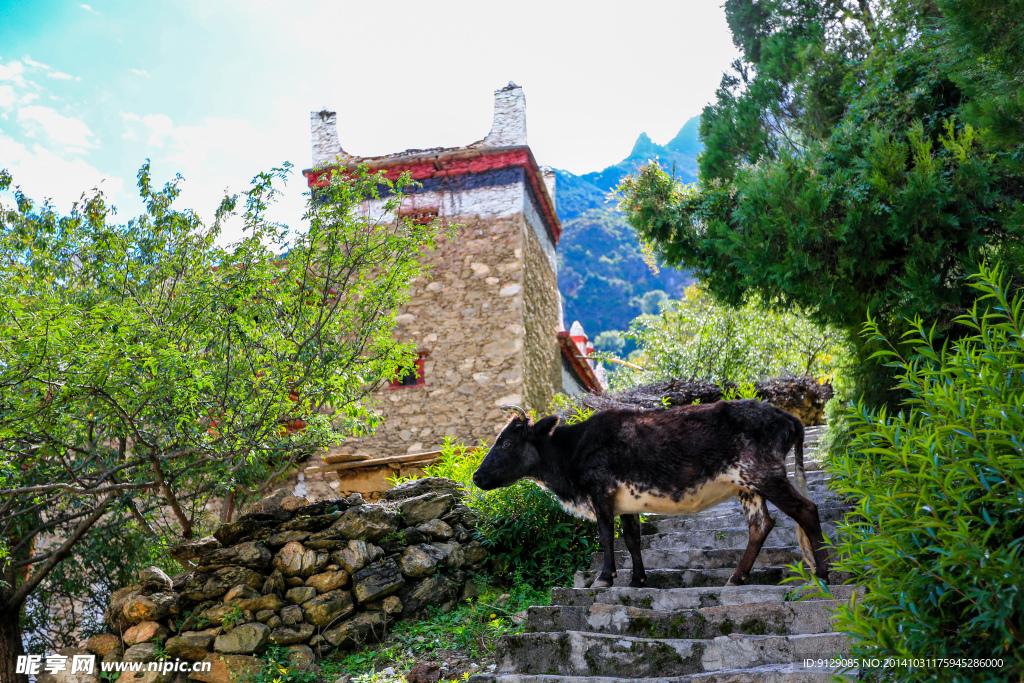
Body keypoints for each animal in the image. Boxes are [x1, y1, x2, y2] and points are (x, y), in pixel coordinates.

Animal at [471, 401, 831, 589]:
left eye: (506, 442)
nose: (476, 476)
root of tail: (786, 416)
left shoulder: (600, 491)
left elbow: (606, 536)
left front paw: (604, 578)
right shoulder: (627, 501)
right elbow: (632, 540)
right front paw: (638, 580)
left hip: (764, 474)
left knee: (806, 510)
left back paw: (822, 573)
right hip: (747, 486)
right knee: (761, 525)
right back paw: (736, 577)